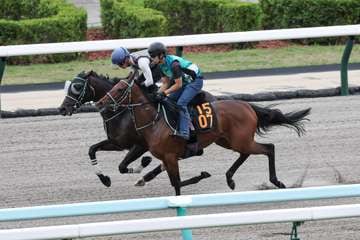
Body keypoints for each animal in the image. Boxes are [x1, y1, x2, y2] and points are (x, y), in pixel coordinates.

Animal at [97, 76, 310, 196]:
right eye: (113, 86)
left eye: (119, 89)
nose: (100, 103)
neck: (155, 121)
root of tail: (247, 106)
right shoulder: (166, 157)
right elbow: (174, 181)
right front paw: (202, 175)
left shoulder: (170, 157)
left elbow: (176, 183)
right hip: (228, 141)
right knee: (248, 153)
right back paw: (230, 179)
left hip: (239, 140)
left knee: (269, 148)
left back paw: (276, 181)